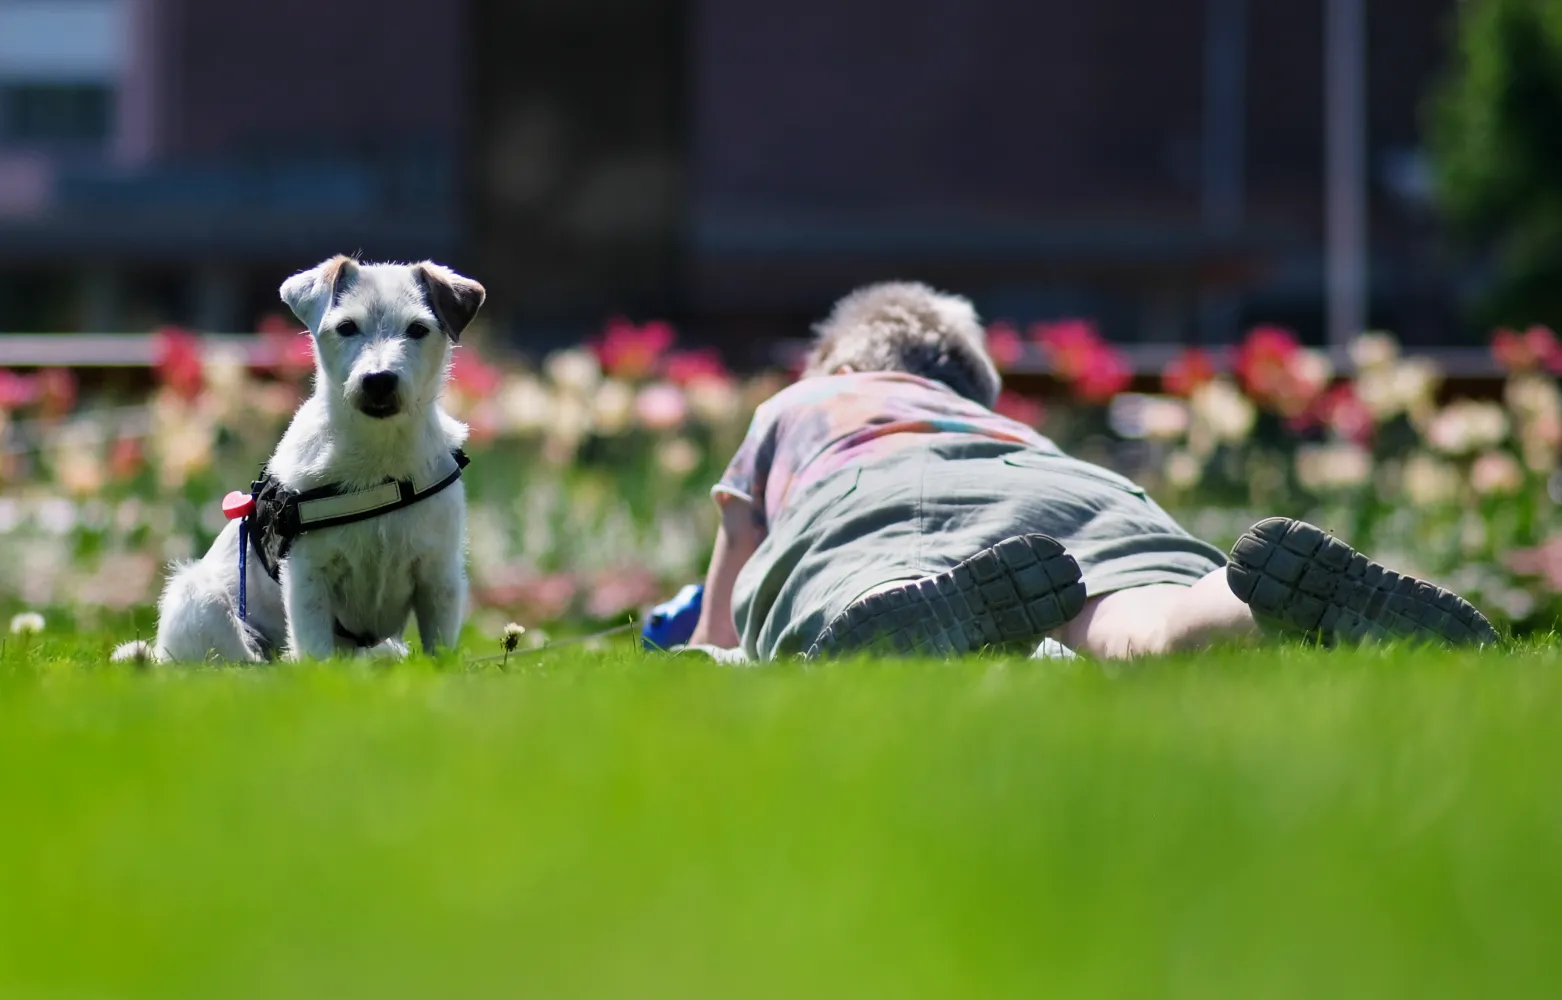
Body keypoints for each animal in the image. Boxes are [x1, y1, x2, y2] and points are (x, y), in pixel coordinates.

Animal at [113, 256, 481, 662]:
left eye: (417, 328)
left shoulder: (439, 575)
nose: (378, 380)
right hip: (200, 598)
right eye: (346, 327)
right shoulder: (308, 576)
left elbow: (439, 647)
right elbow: (315, 650)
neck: (378, 456)